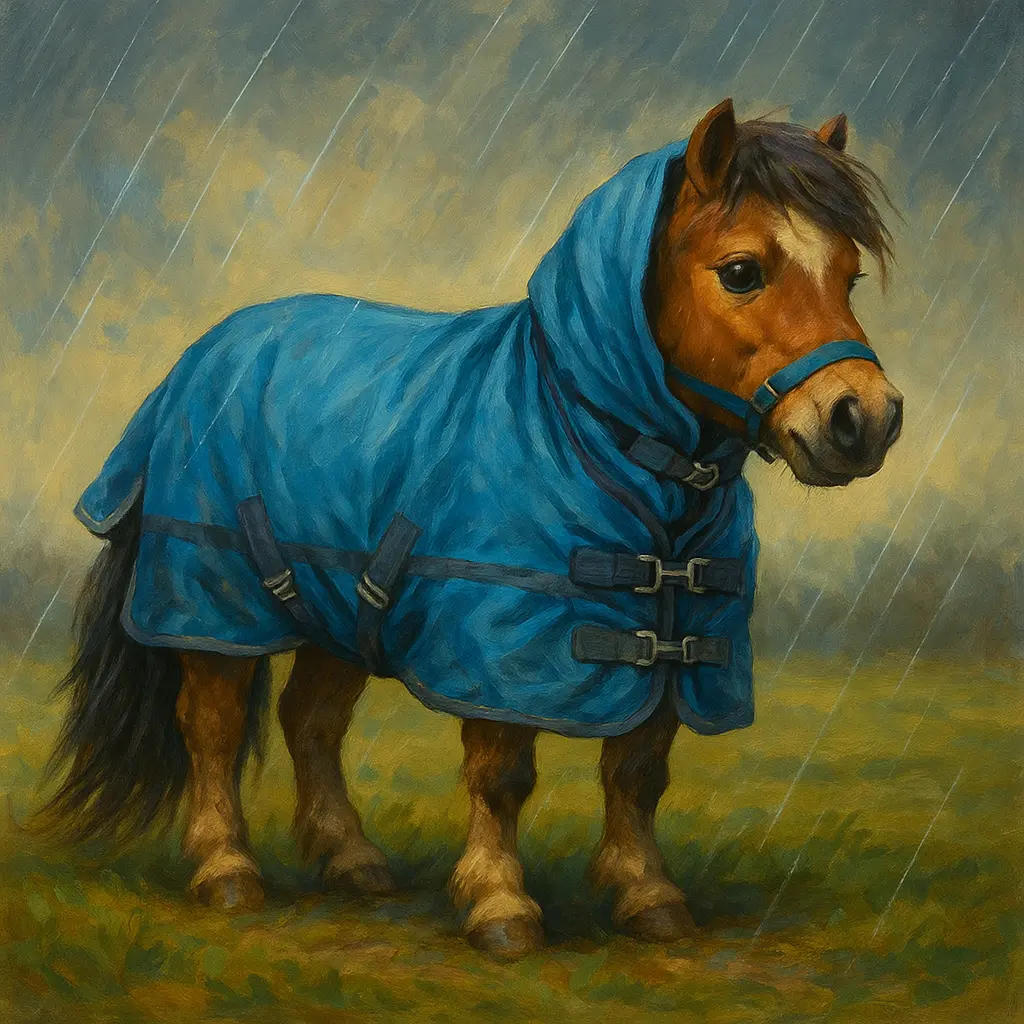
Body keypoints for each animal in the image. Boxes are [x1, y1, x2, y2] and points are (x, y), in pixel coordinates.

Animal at [38, 99, 902, 960]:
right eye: (742, 271)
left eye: (851, 275)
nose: (865, 418)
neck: (590, 430)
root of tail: (203, 353)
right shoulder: (499, 650)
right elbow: (502, 776)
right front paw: (500, 905)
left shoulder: (677, 638)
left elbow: (637, 772)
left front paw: (648, 895)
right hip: (214, 603)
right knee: (212, 727)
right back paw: (226, 869)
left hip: (337, 608)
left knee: (310, 721)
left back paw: (351, 858)